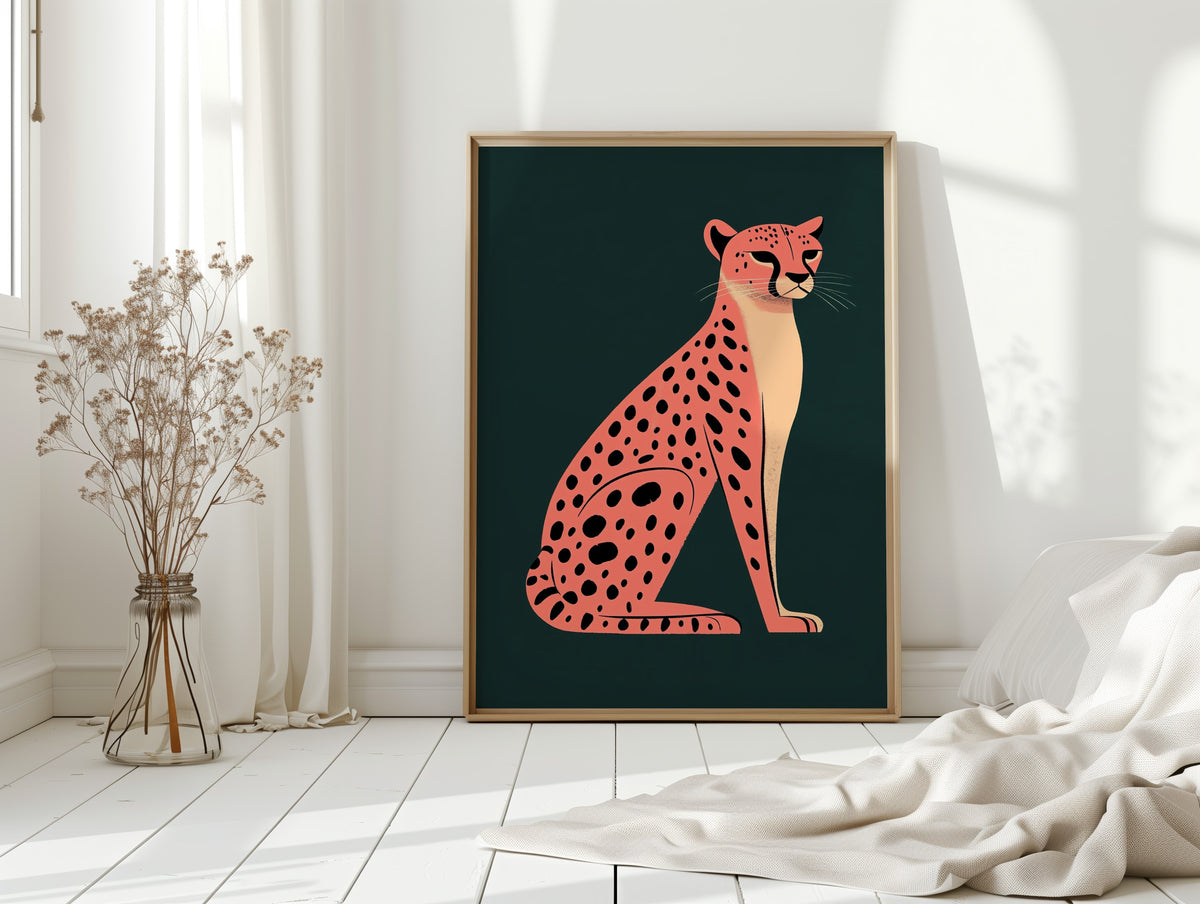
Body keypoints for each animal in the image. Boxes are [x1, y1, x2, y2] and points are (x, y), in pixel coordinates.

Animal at [525, 217, 827, 635]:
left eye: (809, 251)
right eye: (762, 255)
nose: (798, 276)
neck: (769, 321)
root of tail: (544, 552)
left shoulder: (775, 447)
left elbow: (770, 529)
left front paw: (785, 612)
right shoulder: (739, 451)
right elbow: (755, 534)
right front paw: (776, 621)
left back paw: (694, 612)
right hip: (669, 482)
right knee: (598, 608)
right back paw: (700, 619)